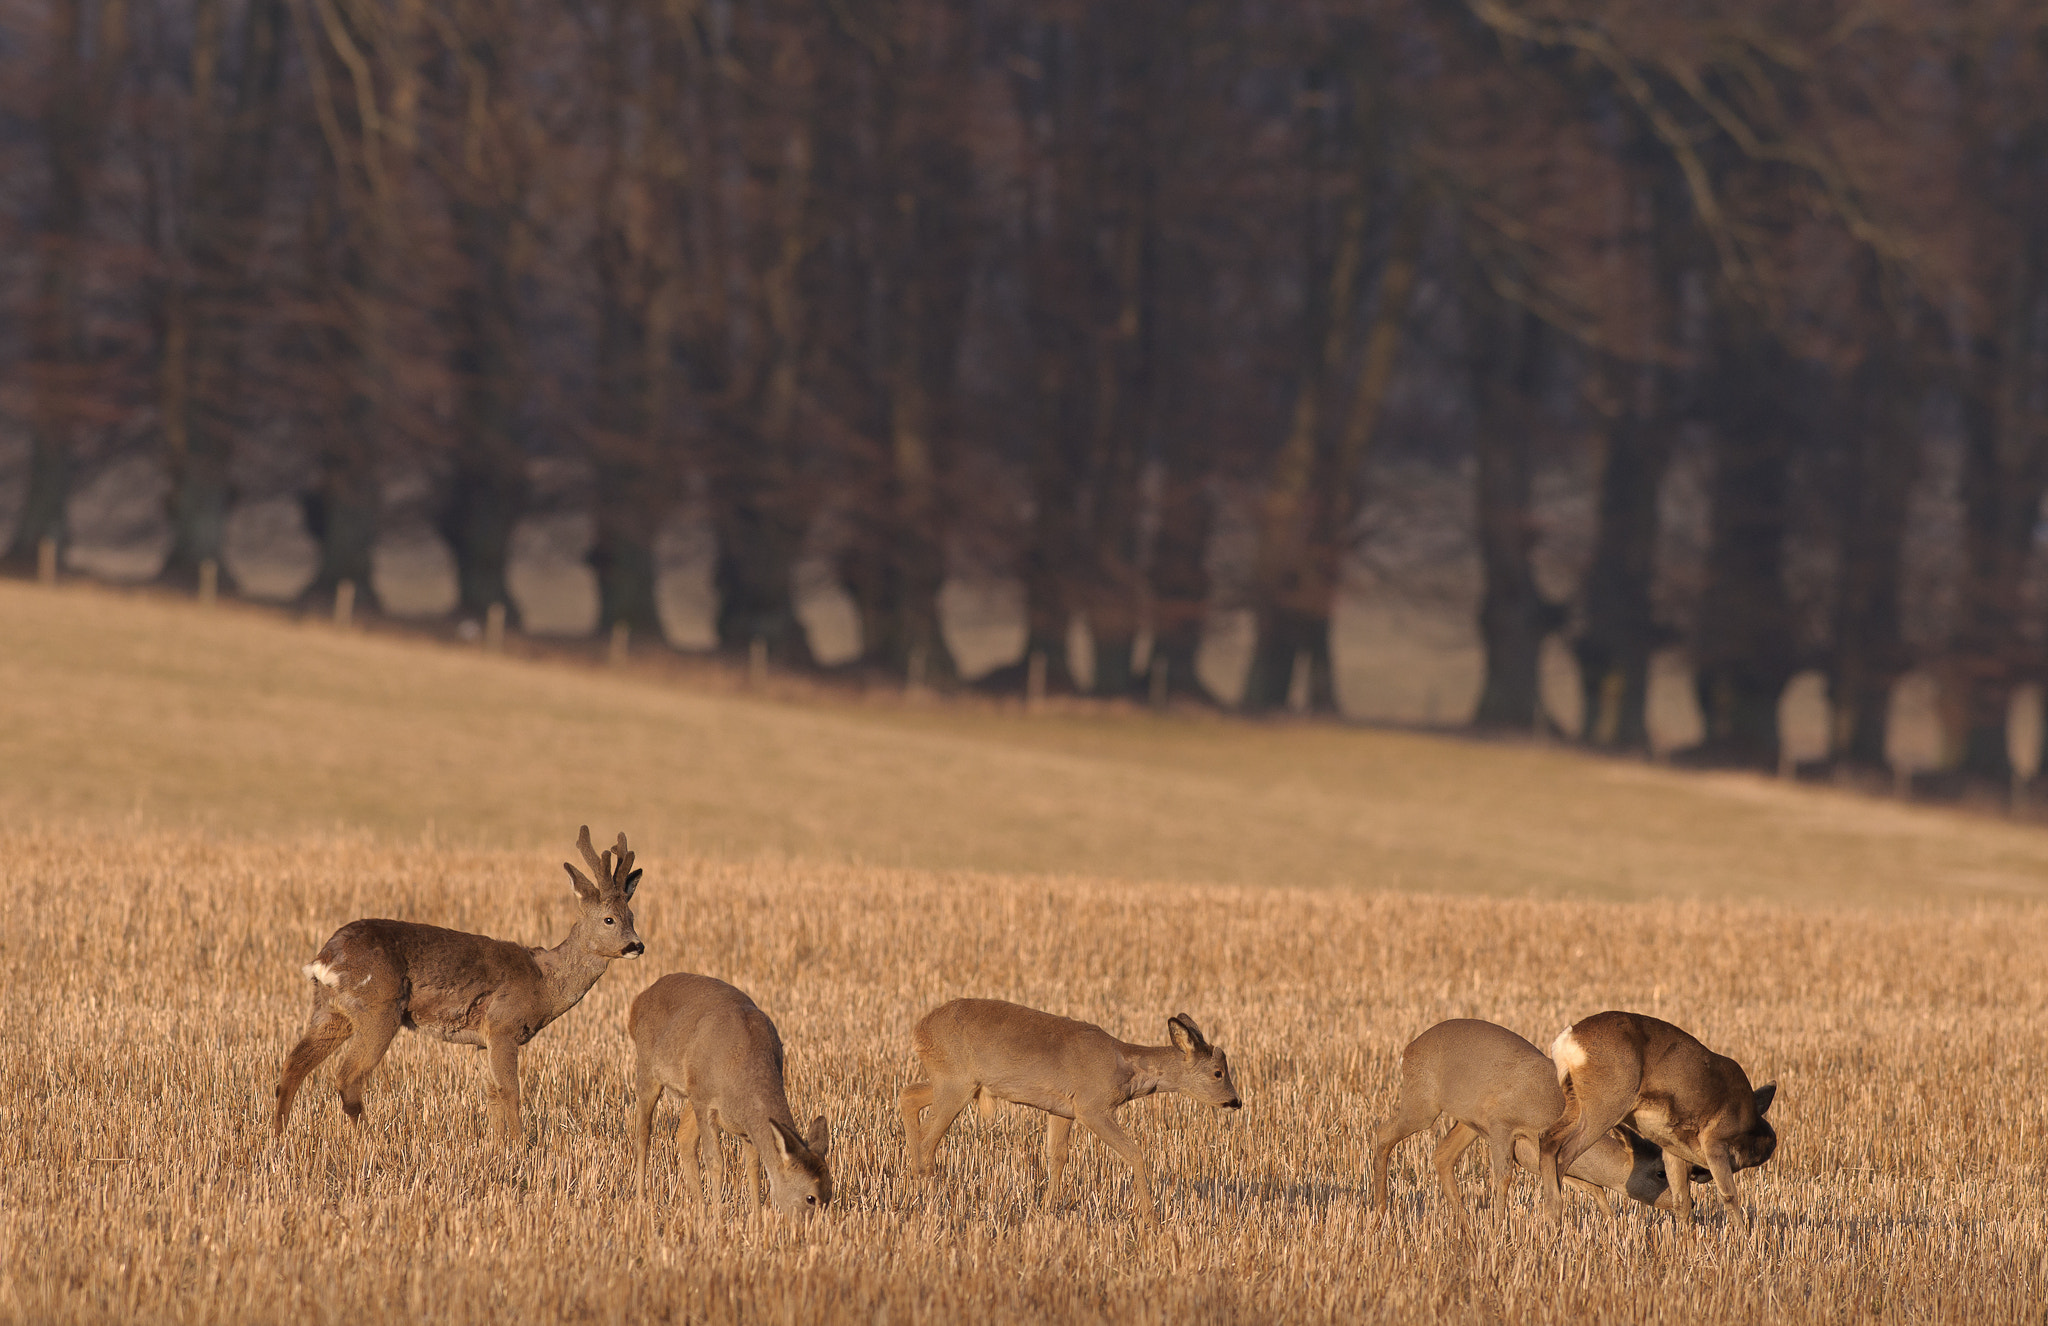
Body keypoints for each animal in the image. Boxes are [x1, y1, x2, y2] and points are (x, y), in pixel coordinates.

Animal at [273, 826, 646, 1145]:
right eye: (609, 919)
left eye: (632, 917)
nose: (637, 946)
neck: (543, 983)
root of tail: (325, 959)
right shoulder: (503, 1026)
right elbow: (511, 1092)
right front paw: (521, 1147)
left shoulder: (482, 1040)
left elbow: (492, 1094)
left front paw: (499, 1147)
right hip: (378, 1008)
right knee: (348, 1077)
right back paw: (373, 1140)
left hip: (330, 1010)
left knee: (293, 1064)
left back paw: (279, 1136)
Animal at [628, 973, 832, 1219]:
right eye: (810, 1198)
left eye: (830, 1194)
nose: (815, 1226)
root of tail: (640, 998)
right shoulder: (705, 1099)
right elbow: (715, 1161)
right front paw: (718, 1219)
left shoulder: (742, 1123)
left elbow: (753, 1166)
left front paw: (757, 1220)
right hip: (648, 1068)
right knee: (643, 1133)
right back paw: (641, 1199)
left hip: (691, 1092)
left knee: (683, 1138)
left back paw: (700, 1209)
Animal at [898, 998, 1242, 1226]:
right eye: (1218, 1072)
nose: (1236, 1101)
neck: (1126, 1070)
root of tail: (918, 1031)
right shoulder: (1091, 1106)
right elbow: (1134, 1151)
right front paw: (1150, 1218)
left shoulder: (1062, 1109)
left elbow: (1057, 1156)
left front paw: (1047, 1210)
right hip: (956, 1081)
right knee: (928, 1139)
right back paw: (936, 1202)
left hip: (952, 1081)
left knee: (908, 1096)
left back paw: (911, 1186)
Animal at [1368, 1018, 1701, 1228]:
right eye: (1659, 1172)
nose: (1691, 1205)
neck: (1546, 1107)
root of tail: (1409, 1048)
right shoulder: (1501, 1126)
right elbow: (1502, 1178)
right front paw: (1498, 1228)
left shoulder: (1531, 1151)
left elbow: (1588, 1185)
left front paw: (1611, 1225)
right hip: (1423, 1104)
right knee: (1382, 1133)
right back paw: (1380, 1212)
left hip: (1467, 1123)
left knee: (1442, 1156)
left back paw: (1463, 1225)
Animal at [1538, 1010, 1777, 1229]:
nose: (1697, 1173)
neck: (1749, 1125)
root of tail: (1568, 1038)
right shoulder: (1714, 1140)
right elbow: (1729, 1195)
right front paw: (1742, 1236)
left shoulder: (1672, 1147)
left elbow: (1681, 1202)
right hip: (1605, 1104)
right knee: (1565, 1153)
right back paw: (1555, 1215)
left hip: (1575, 1101)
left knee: (1548, 1138)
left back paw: (1551, 1215)